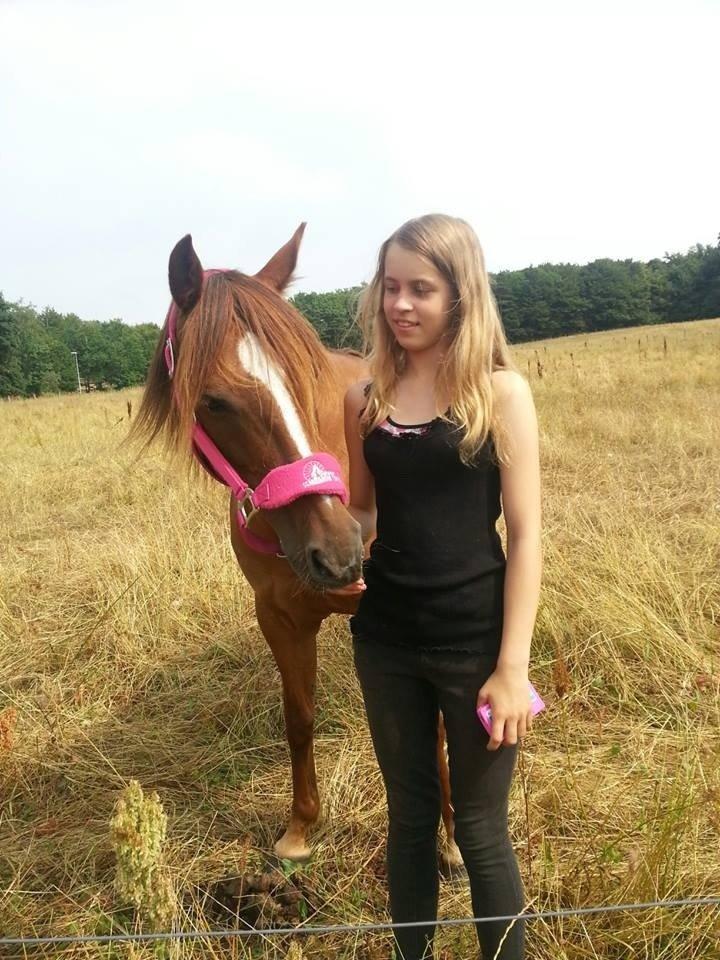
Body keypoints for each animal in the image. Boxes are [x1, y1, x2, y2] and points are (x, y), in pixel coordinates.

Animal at [132, 225, 464, 872]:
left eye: (306, 379)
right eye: (213, 401)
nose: (338, 552)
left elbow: (435, 723)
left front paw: (454, 838)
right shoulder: (279, 616)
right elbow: (299, 715)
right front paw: (301, 827)